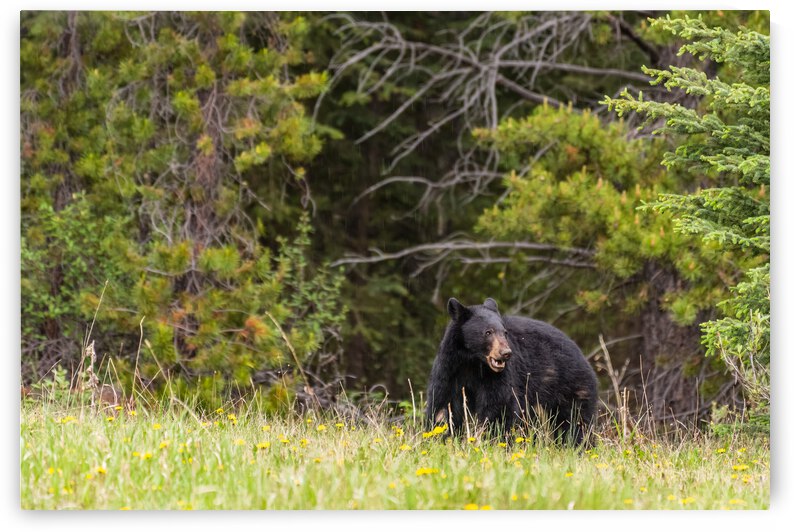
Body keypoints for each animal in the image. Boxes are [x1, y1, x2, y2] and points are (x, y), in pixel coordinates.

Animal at [425, 297, 598, 445]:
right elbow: (443, 403)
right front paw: (439, 436)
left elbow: (499, 405)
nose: (506, 353)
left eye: (505, 332)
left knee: (575, 422)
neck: (473, 362)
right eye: (488, 332)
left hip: (570, 387)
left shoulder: (499, 376)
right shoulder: (450, 369)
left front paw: (491, 439)